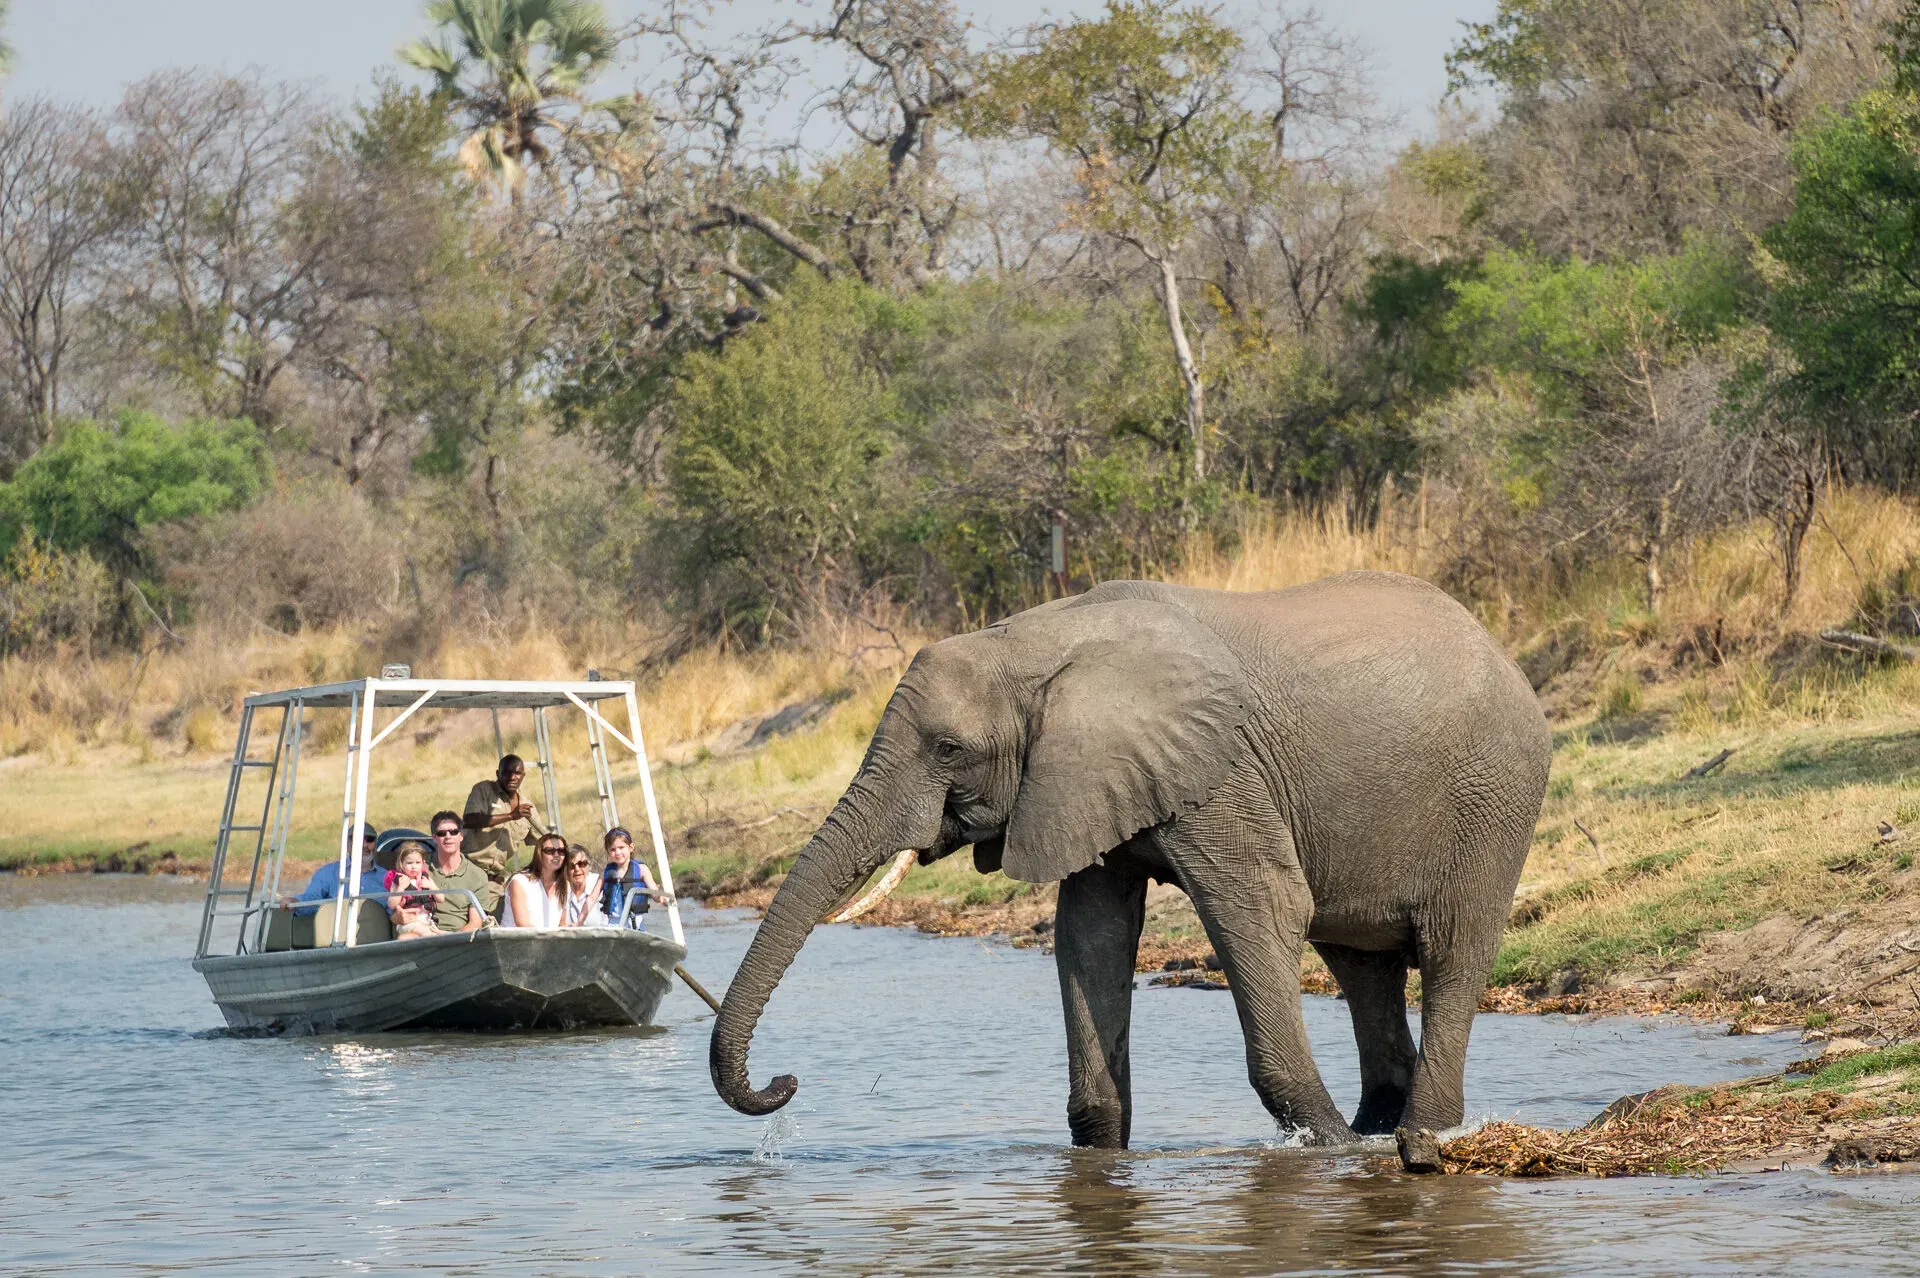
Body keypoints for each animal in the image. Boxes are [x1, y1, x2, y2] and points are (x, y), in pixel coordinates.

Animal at [709, 571, 1552, 1148]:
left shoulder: (1220, 774)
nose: (785, 1080)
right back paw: (1378, 1125)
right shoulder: (1083, 779)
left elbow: (1262, 911)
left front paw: (1326, 1148)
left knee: (1450, 952)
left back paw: (1415, 1133)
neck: (1036, 642)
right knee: (1359, 963)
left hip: (1496, 799)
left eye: (948, 749)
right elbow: (1090, 935)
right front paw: (1102, 1151)